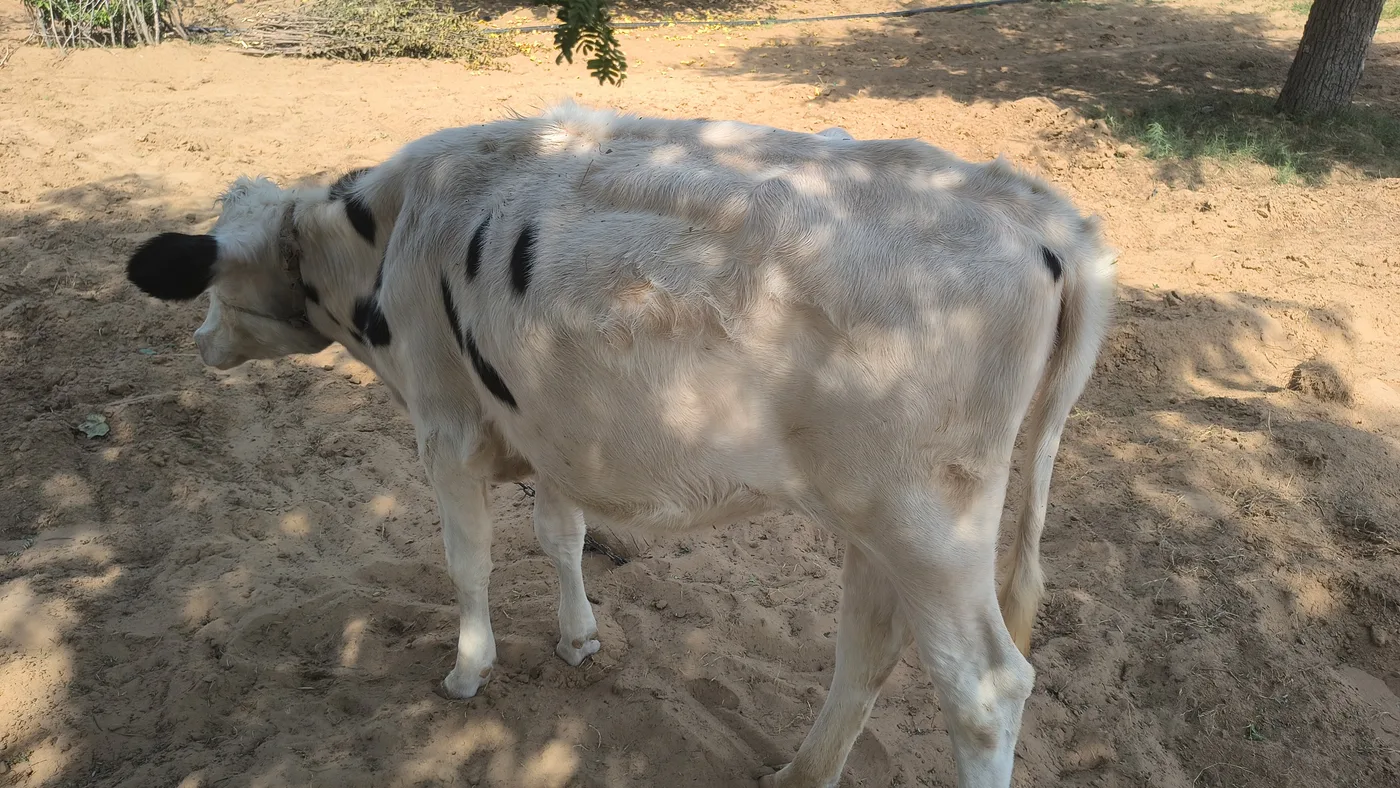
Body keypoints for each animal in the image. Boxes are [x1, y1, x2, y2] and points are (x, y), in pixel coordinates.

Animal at [124, 102, 1116, 788]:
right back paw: (801, 771)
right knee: (869, 648)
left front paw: (468, 672)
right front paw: (577, 639)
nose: (202, 342)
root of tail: (1032, 208)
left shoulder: (445, 427)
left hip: (930, 519)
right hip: (876, 517)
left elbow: (468, 562)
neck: (392, 231)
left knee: (985, 691)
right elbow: (560, 537)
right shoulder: (552, 428)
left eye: (212, 282)